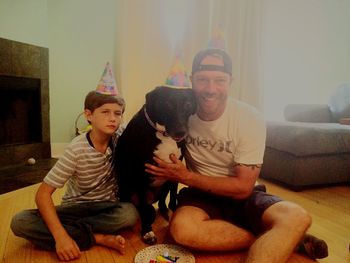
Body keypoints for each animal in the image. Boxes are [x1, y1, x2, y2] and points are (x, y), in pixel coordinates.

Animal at [115, 86, 196, 245]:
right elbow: (144, 210)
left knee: (163, 201)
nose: (181, 132)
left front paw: (173, 213)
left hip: (164, 185)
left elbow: (172, 198)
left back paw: (165, 211)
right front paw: (147, 232)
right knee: (141, 208)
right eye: (167, 104)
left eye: (188, 105)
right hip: (127, 190)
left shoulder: (175, 170)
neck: (164, 135)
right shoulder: (141, 174)